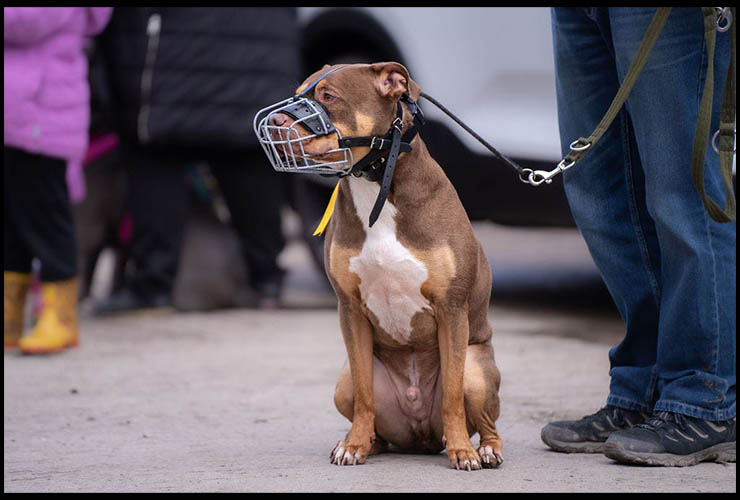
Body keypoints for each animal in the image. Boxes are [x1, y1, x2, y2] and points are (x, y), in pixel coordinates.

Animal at [258, 61, 502, 468]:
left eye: (328, 96)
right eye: (298, 92)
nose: (275, 121)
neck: (376, 184)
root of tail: (421, 438)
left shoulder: (452, 310)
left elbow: (452, 397)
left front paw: (462, 452)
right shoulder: (350, 310)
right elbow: (364, 394)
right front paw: (354, 444)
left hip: (476, 368)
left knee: (483, 417)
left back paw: (484, 449)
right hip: (341, 382)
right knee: (369, 411)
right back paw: (363, 443)